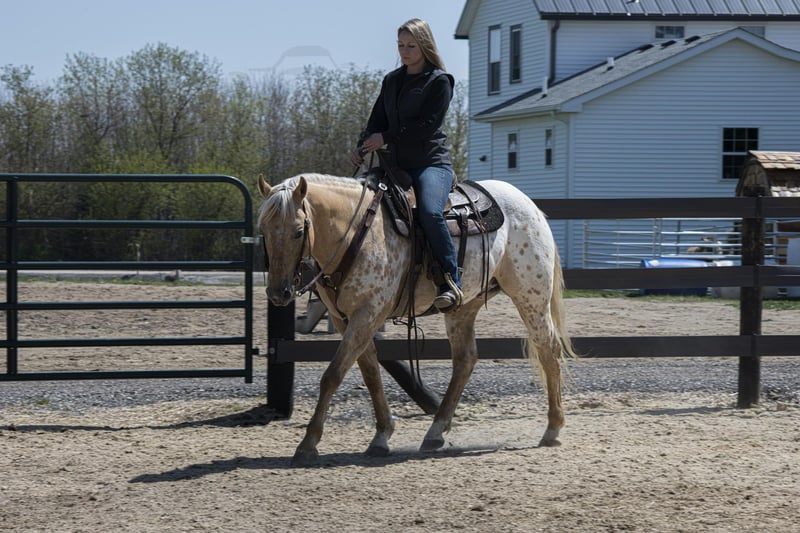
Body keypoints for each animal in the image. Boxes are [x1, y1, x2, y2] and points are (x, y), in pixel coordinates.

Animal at [260, 172, 580, 464]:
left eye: (298, 231)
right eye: (264, 230)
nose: (278, 292)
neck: (356, 232)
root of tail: (529, 204)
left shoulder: (368, 313)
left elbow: (333, 375)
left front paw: (308, 443)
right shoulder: (346, 319)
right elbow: (370, 371)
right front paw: (381, 435)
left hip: (531, 297)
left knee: (549, 350)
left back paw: (552, 429)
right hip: (464, 307)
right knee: (465, 359)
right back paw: (435, 432)